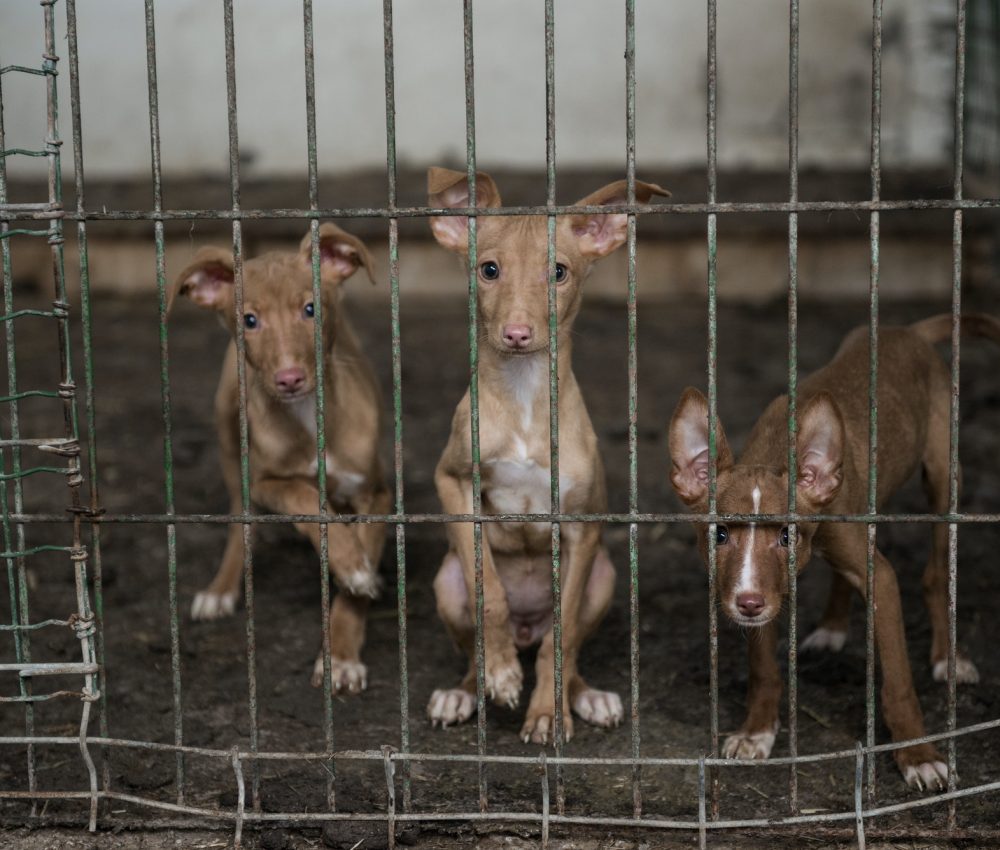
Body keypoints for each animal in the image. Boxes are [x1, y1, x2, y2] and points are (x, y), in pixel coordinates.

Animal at [172, 222, 390, 692]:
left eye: (310, 310)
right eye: (250, 321)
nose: (289, 378)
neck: (309, 417)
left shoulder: (376, 494)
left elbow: (355, 577)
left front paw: (341, 654)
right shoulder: (265, 483)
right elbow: (304, 499)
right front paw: (349, 563)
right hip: (228, 438)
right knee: (240, 522)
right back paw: (221, 589)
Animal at [426, 167, 668, 744]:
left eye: (558, 272)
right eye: (489, 270)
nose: (517, 333)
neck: (523, 399)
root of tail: (526, 627)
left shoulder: (578, 528)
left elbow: (560, 643)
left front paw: (545, 714)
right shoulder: (452, 483)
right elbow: (489, 589)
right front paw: (503, 675)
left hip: (602, 578)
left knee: (569, 647)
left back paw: (583, 696)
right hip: (446, 581)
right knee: (473, 646)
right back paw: (468, 688)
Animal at [664, 314, 1000, 792]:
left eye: (788, 536)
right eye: (720, 535)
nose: (747, 603)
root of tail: (908, 332)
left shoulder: (881, 582)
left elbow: (898, 681)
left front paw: (918, 756)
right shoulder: (772, 591)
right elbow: (764, 668)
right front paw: (757, 731)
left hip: (944, 479)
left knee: (937, 574)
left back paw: (945, 658)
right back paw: (832, 627)